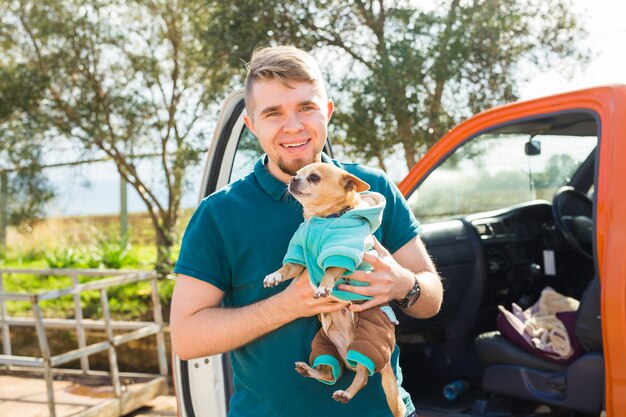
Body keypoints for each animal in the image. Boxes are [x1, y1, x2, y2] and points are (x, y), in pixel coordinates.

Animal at [264, 162, 404, 416]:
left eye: (314, 178)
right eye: (296, 173)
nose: (292, 179)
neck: (322, 220)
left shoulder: (344, 253)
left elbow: (330, 270)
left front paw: (323, 287)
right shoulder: (298, 255)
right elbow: (287, 266)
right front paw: (274, 275)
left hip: (371, 336)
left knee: (363, 376)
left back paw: (346, 393)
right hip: (322, 343)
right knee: (330, 372)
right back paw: (310, 370)